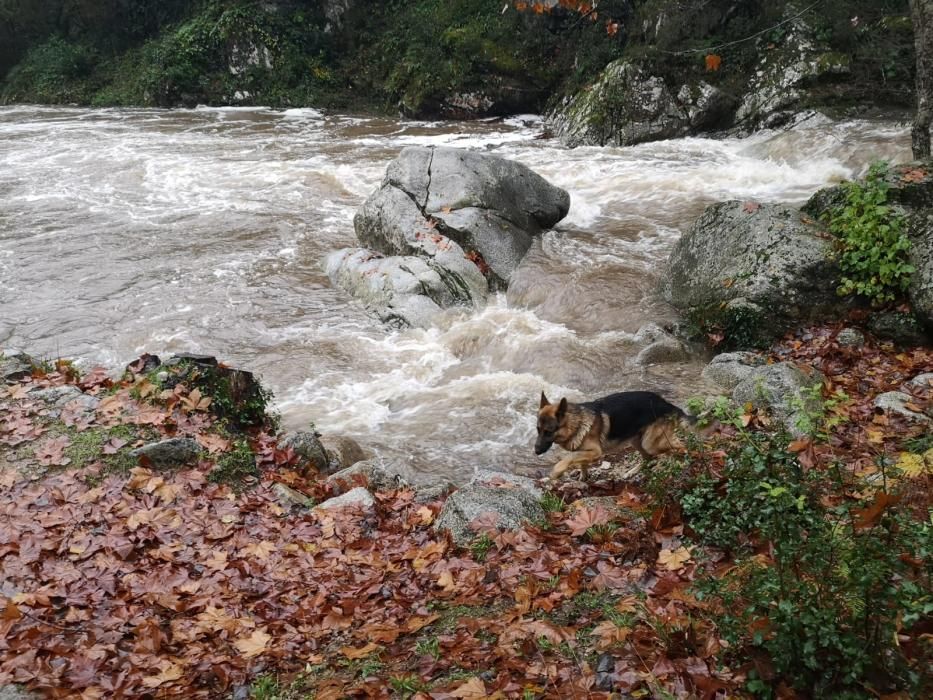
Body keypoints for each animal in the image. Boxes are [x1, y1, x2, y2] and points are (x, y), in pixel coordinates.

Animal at [536, 388, 696, 482]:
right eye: (538, 429)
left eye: (548, 431)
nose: (536, 451)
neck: (576, 423)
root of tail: (667, 404)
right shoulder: (585, 451)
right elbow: (580, 461)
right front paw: (583, 476)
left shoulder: (596, 452)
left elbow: (570, 457)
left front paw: (557, 472)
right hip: (637, 441)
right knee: (649, 457)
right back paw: (632, 472)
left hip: (650, 443)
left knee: (680, 446)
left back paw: (681, 462)